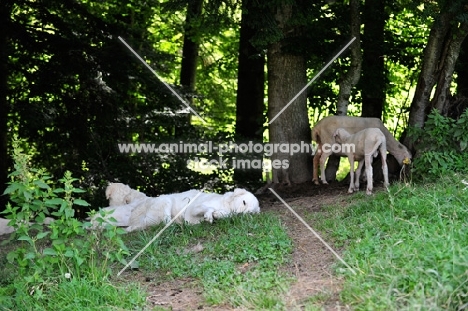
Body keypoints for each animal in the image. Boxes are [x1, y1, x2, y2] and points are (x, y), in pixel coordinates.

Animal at [91, 185, 260, 232]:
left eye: (250, 213)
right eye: (244, 202)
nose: (240, 215)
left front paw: (218, 215)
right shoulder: (194, 208)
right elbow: (207, 208)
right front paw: (210, 214)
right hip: (165, 203)